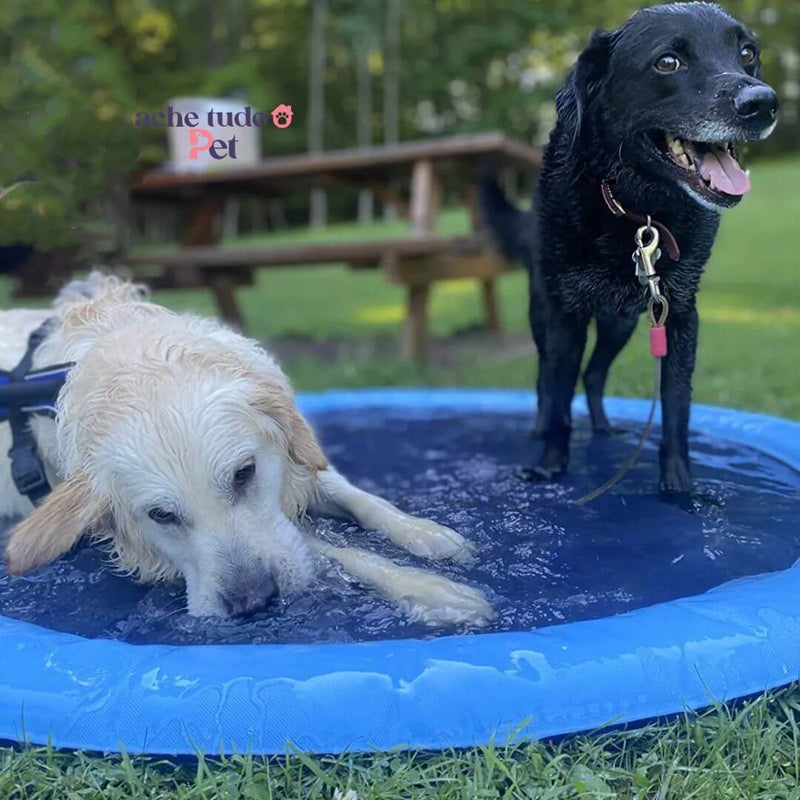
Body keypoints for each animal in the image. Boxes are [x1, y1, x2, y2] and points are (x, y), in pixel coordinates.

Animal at [0, 276, 490, 624]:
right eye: (161, 515)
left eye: (243, 473)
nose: (253, 600)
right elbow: (339, 551)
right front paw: (432, 590)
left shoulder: (294, 460)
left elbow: (361, 498)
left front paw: (426, 534)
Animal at [484, 3, 780, 494]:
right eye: (668, 62)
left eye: (747, 53)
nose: (763, 103)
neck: (639, 213)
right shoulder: (565, 315)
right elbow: (558, 394)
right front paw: (550, 467)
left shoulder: (679, 314)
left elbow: (676, 407)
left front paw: (679, 487)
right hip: (544, 312)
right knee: (547, 378)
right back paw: (542, 431)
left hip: (620, 323)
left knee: (594, 373)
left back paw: (604, 427)